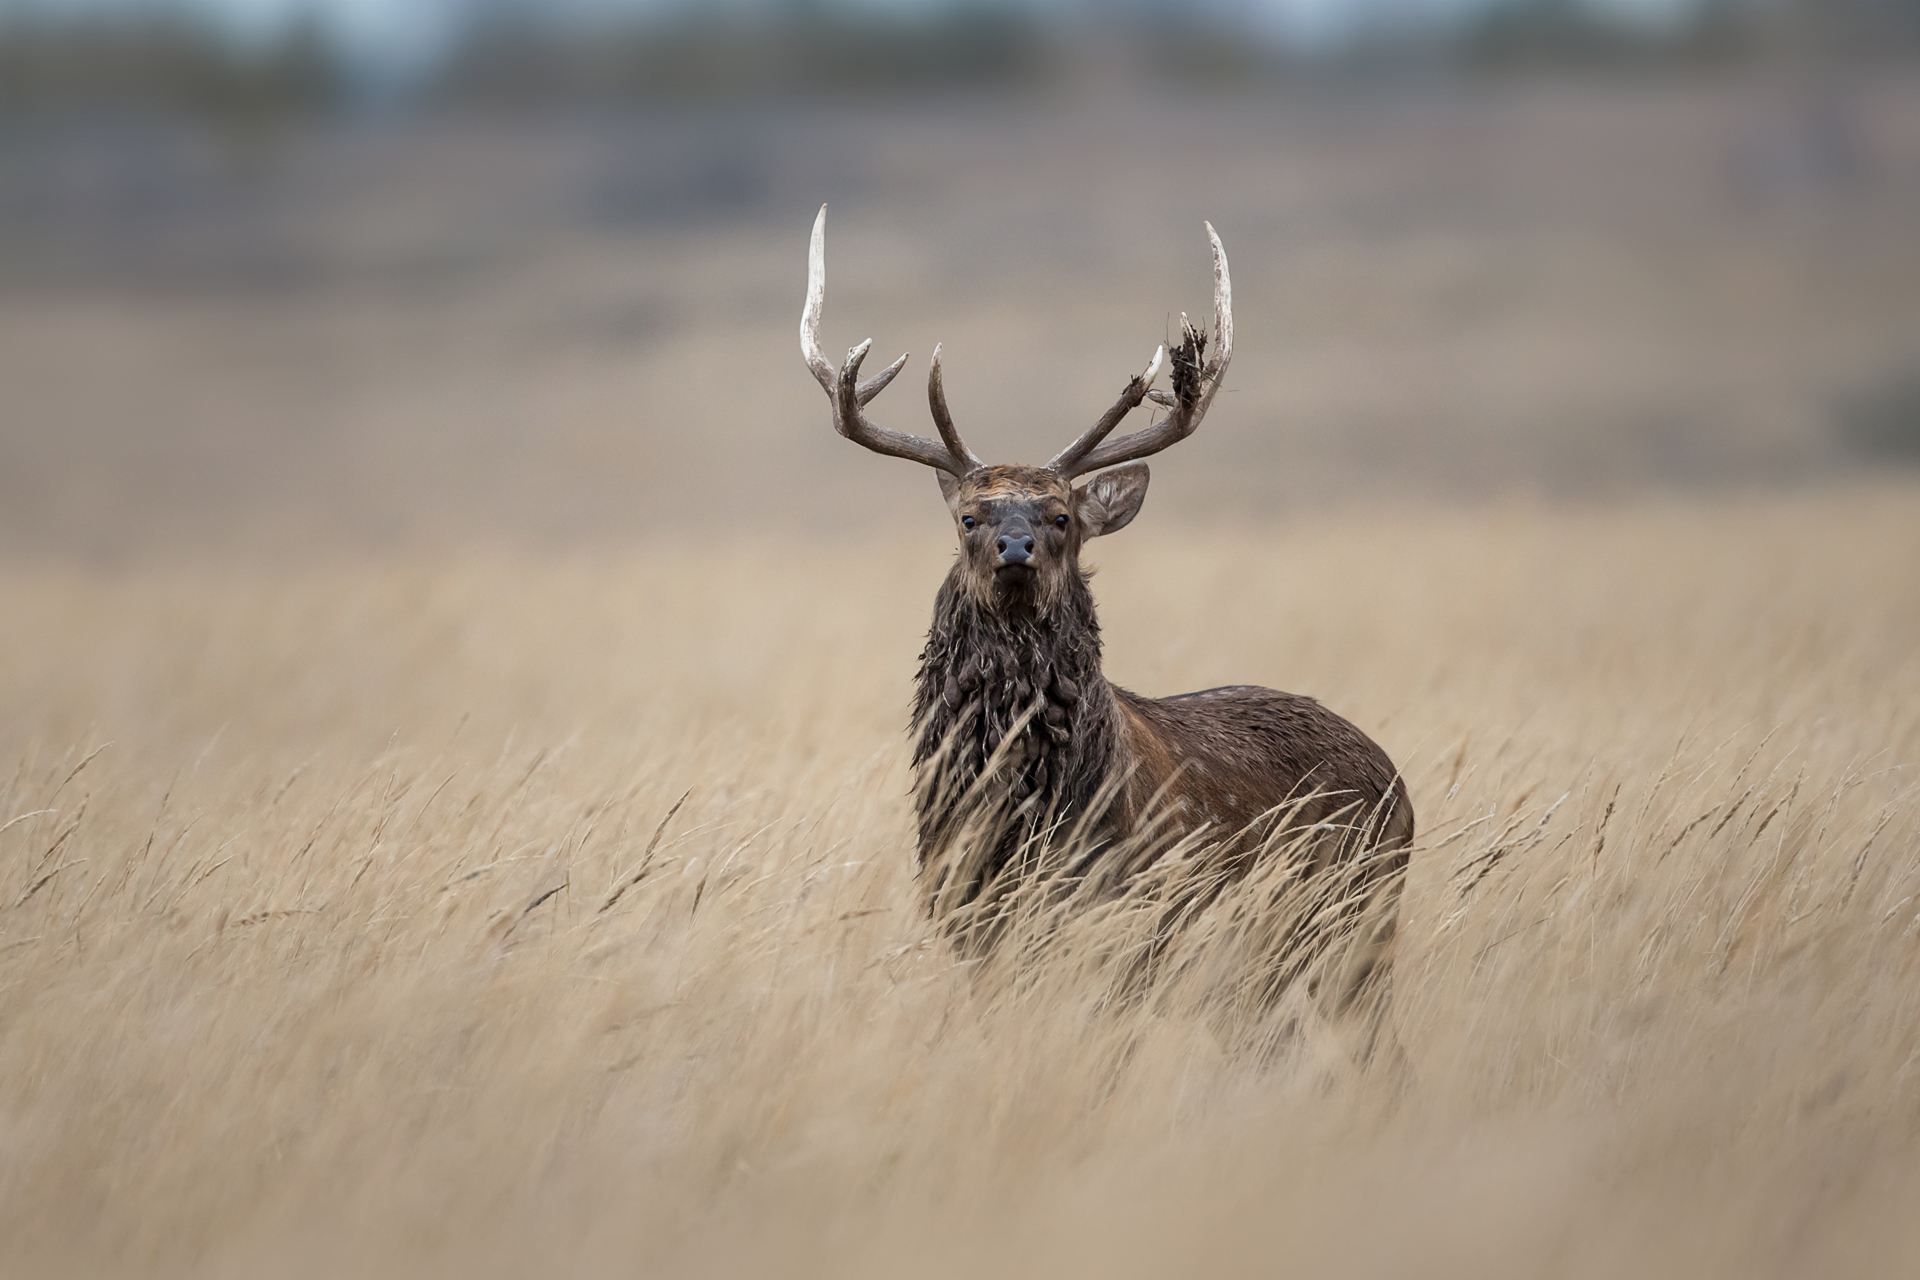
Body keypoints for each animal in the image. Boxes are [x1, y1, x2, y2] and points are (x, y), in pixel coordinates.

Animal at [794, 208, 1413, 1028]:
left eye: (1061, 516)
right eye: (968, 517)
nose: (1015, 546)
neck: (1024, 812)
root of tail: (1400, 784)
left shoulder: (1133, 911)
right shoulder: (967, 916)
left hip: (1358, 926)